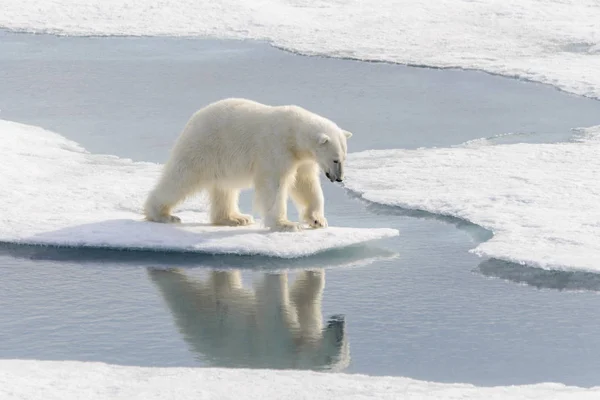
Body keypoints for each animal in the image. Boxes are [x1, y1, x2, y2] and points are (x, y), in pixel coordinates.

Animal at [144, 97, 352, 233]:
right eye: (335, 159)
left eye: (344, 158)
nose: (339, 178)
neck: (293, 135)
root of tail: (193, 120)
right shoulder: (275, 149)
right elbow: (274, 185)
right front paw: (285, 224)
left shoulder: (302, 159)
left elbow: (305, 184)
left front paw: (318, 220)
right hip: (204, 147)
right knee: (181, 178)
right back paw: (163, 215)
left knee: (224, 188)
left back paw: (235, 218)